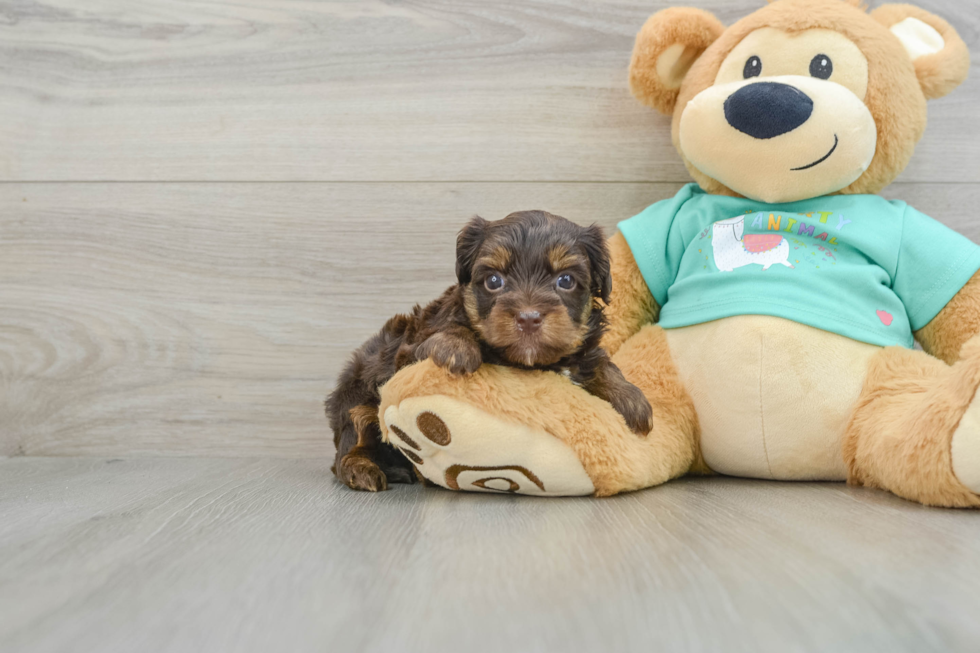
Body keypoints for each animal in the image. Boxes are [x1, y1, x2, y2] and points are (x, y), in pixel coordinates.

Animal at [326, 211, 656, 492]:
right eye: (494, 280)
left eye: (566, 280)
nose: (528, 317)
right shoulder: (409, 352)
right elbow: (448, 332)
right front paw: (455, 347)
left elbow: (597, 362)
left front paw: (630, 398)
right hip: (355, 397)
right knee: (349, 442)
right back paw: (362, 470)